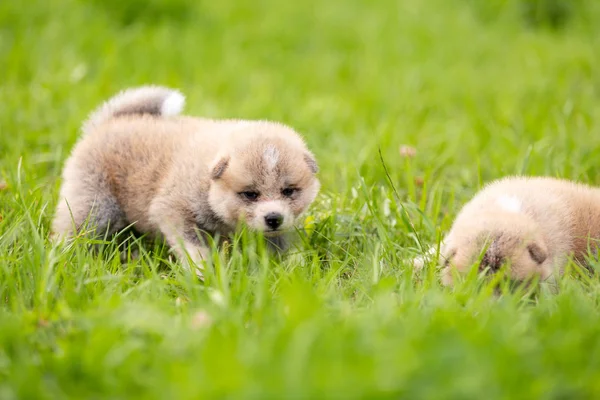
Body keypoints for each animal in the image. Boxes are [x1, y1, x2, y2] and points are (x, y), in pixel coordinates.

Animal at [54, 85, 322, 276]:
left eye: (289, 191)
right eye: (250, 194)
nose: (274, 218)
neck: (208, 183)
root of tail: (107, 123)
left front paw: (288, 270)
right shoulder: (174, 210)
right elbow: (193, 246)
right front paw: (204, 271)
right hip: (94, 203)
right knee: (72, 227)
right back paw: (64, 257)